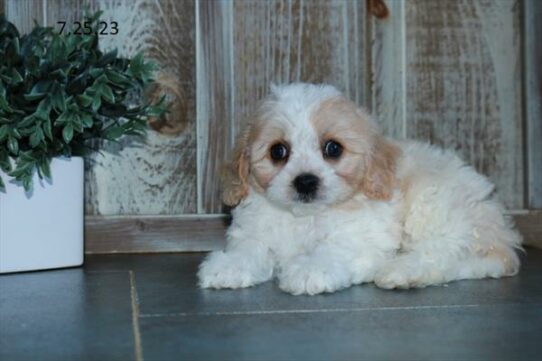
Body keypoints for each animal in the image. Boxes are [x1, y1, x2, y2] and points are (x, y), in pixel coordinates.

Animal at [198, 83, 524, 294]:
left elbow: (336, 248)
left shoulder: (364, 236)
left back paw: (401, 271)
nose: (305, 181)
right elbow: (250, 248)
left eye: (333, 148)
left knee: (442, 253)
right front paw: (228, 266)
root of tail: (502, 234)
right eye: (278, 151)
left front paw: (311, 269)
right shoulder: (255, 231)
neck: (305, 217)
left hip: (435, 206)